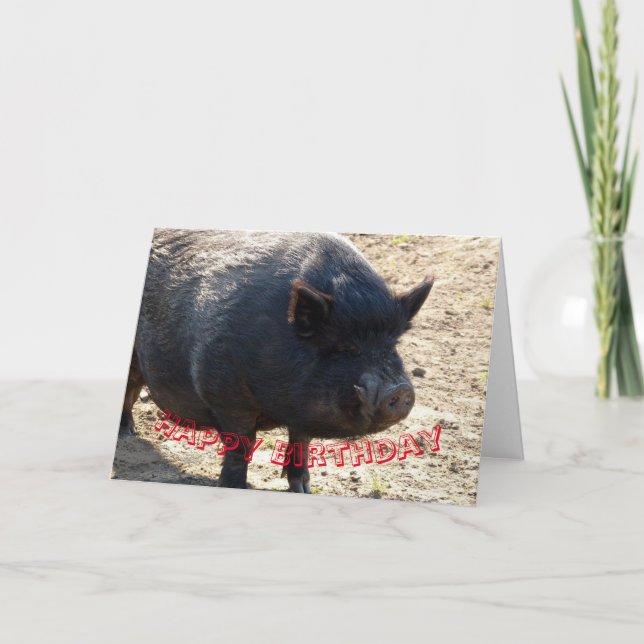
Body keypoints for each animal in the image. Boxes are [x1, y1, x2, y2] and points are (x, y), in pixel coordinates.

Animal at [120, 229, 433, 493]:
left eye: (392, 344)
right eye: (345, 347)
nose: (398, 390)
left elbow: (301, 445)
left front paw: (303, 490)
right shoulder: (224, 394)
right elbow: (240, 449)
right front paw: (233, 487)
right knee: (130, 390)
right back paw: (126, 436)